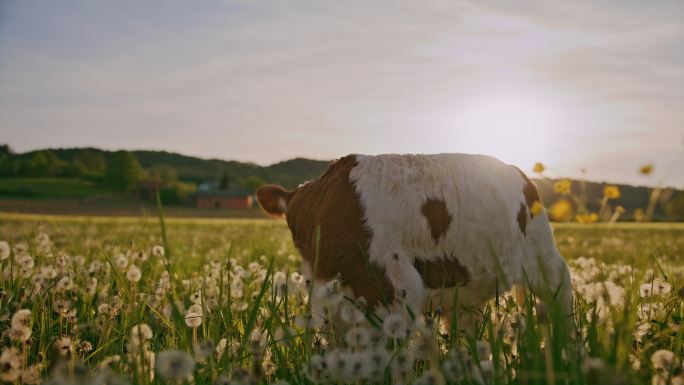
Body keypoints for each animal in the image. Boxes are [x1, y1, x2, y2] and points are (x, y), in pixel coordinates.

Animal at [256, 154, 572, 324]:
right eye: (296, 230)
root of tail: (521, 174)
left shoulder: (391, 284)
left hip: (542, 257)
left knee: (560, 291)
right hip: (466, 287)